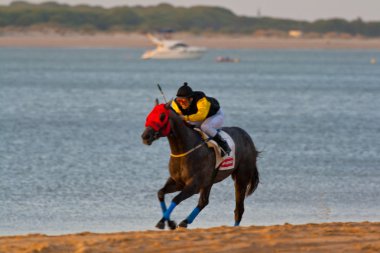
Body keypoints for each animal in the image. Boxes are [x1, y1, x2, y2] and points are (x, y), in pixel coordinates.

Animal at [141, 101, 260, 229]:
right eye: (150, 114)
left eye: (162, 116)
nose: (145, 136)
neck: (186, 149)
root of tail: (247, 137)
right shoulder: (177, 182)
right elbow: (160, 193)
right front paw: (169, 222)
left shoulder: (194, 185)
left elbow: (176, 199)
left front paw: (165, 221)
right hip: (209, 181)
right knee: (204, 201)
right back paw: (185, 221)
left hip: (241, 177)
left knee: (239, 208)